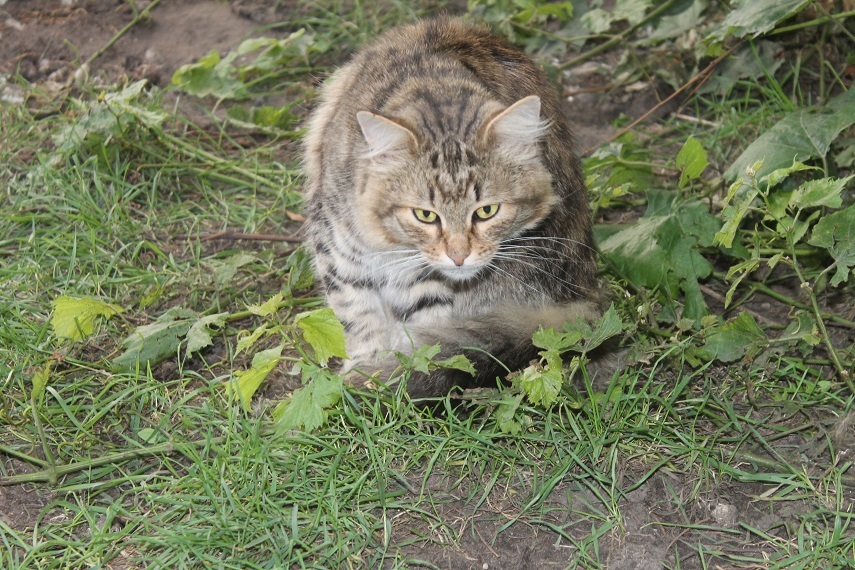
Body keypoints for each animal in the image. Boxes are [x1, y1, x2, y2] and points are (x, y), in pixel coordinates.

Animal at [300, 15, 600, 392]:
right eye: (425, 215)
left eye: (486, 211)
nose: (459, 257)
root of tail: (586, 291)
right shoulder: (339, 252)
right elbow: (358, 318)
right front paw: (366, 368)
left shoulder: (426, 289)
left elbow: (426, 344)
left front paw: (394, 376)